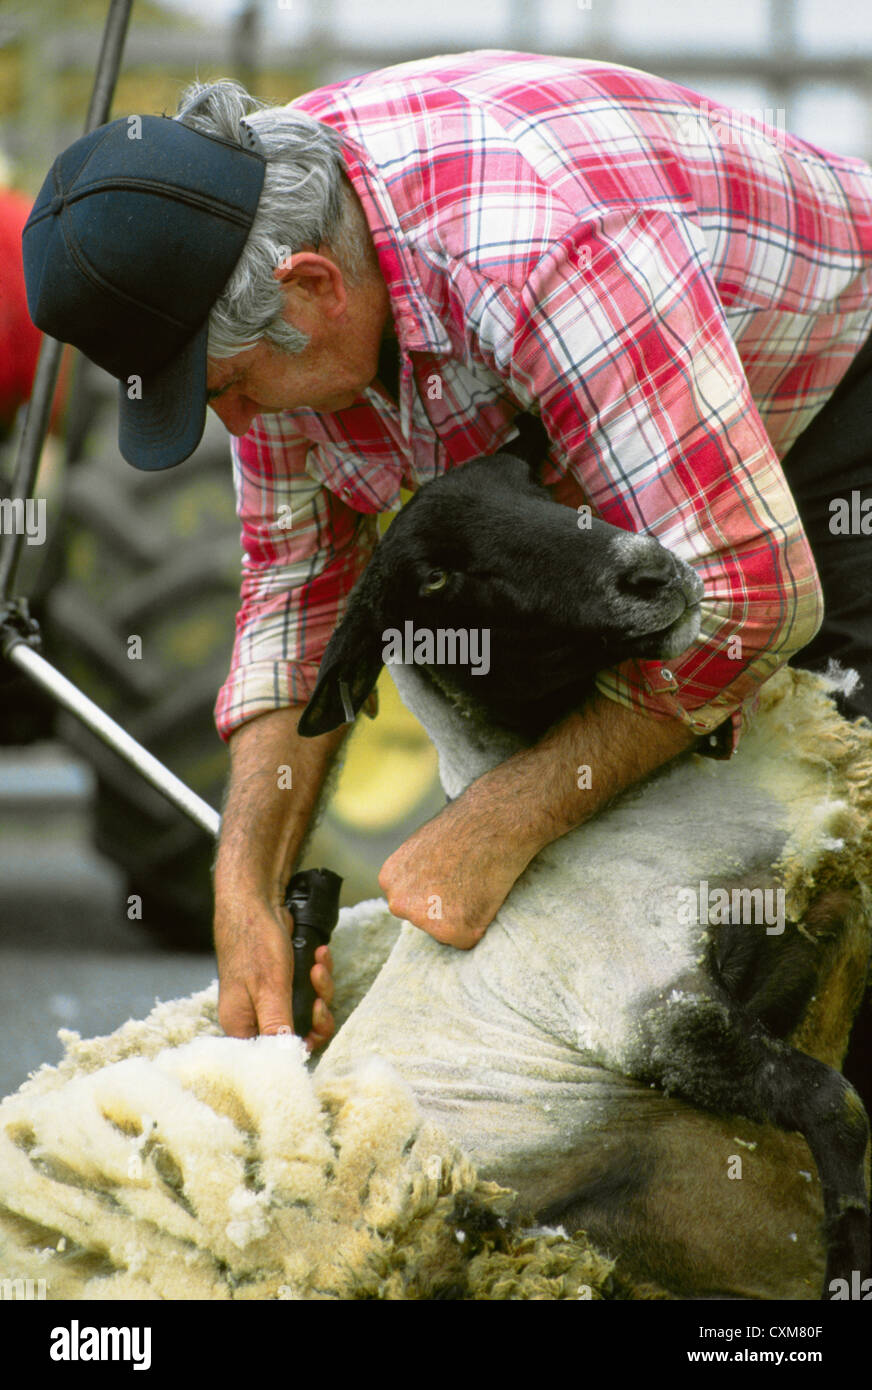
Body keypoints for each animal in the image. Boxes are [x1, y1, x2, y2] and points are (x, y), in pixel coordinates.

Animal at [299, 421, 872, 1297]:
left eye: (540, 488)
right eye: (434, 576)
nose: (653, 573)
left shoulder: (811, 925)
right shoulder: (653, 1014)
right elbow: (837, 1104)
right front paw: (849, 1250)